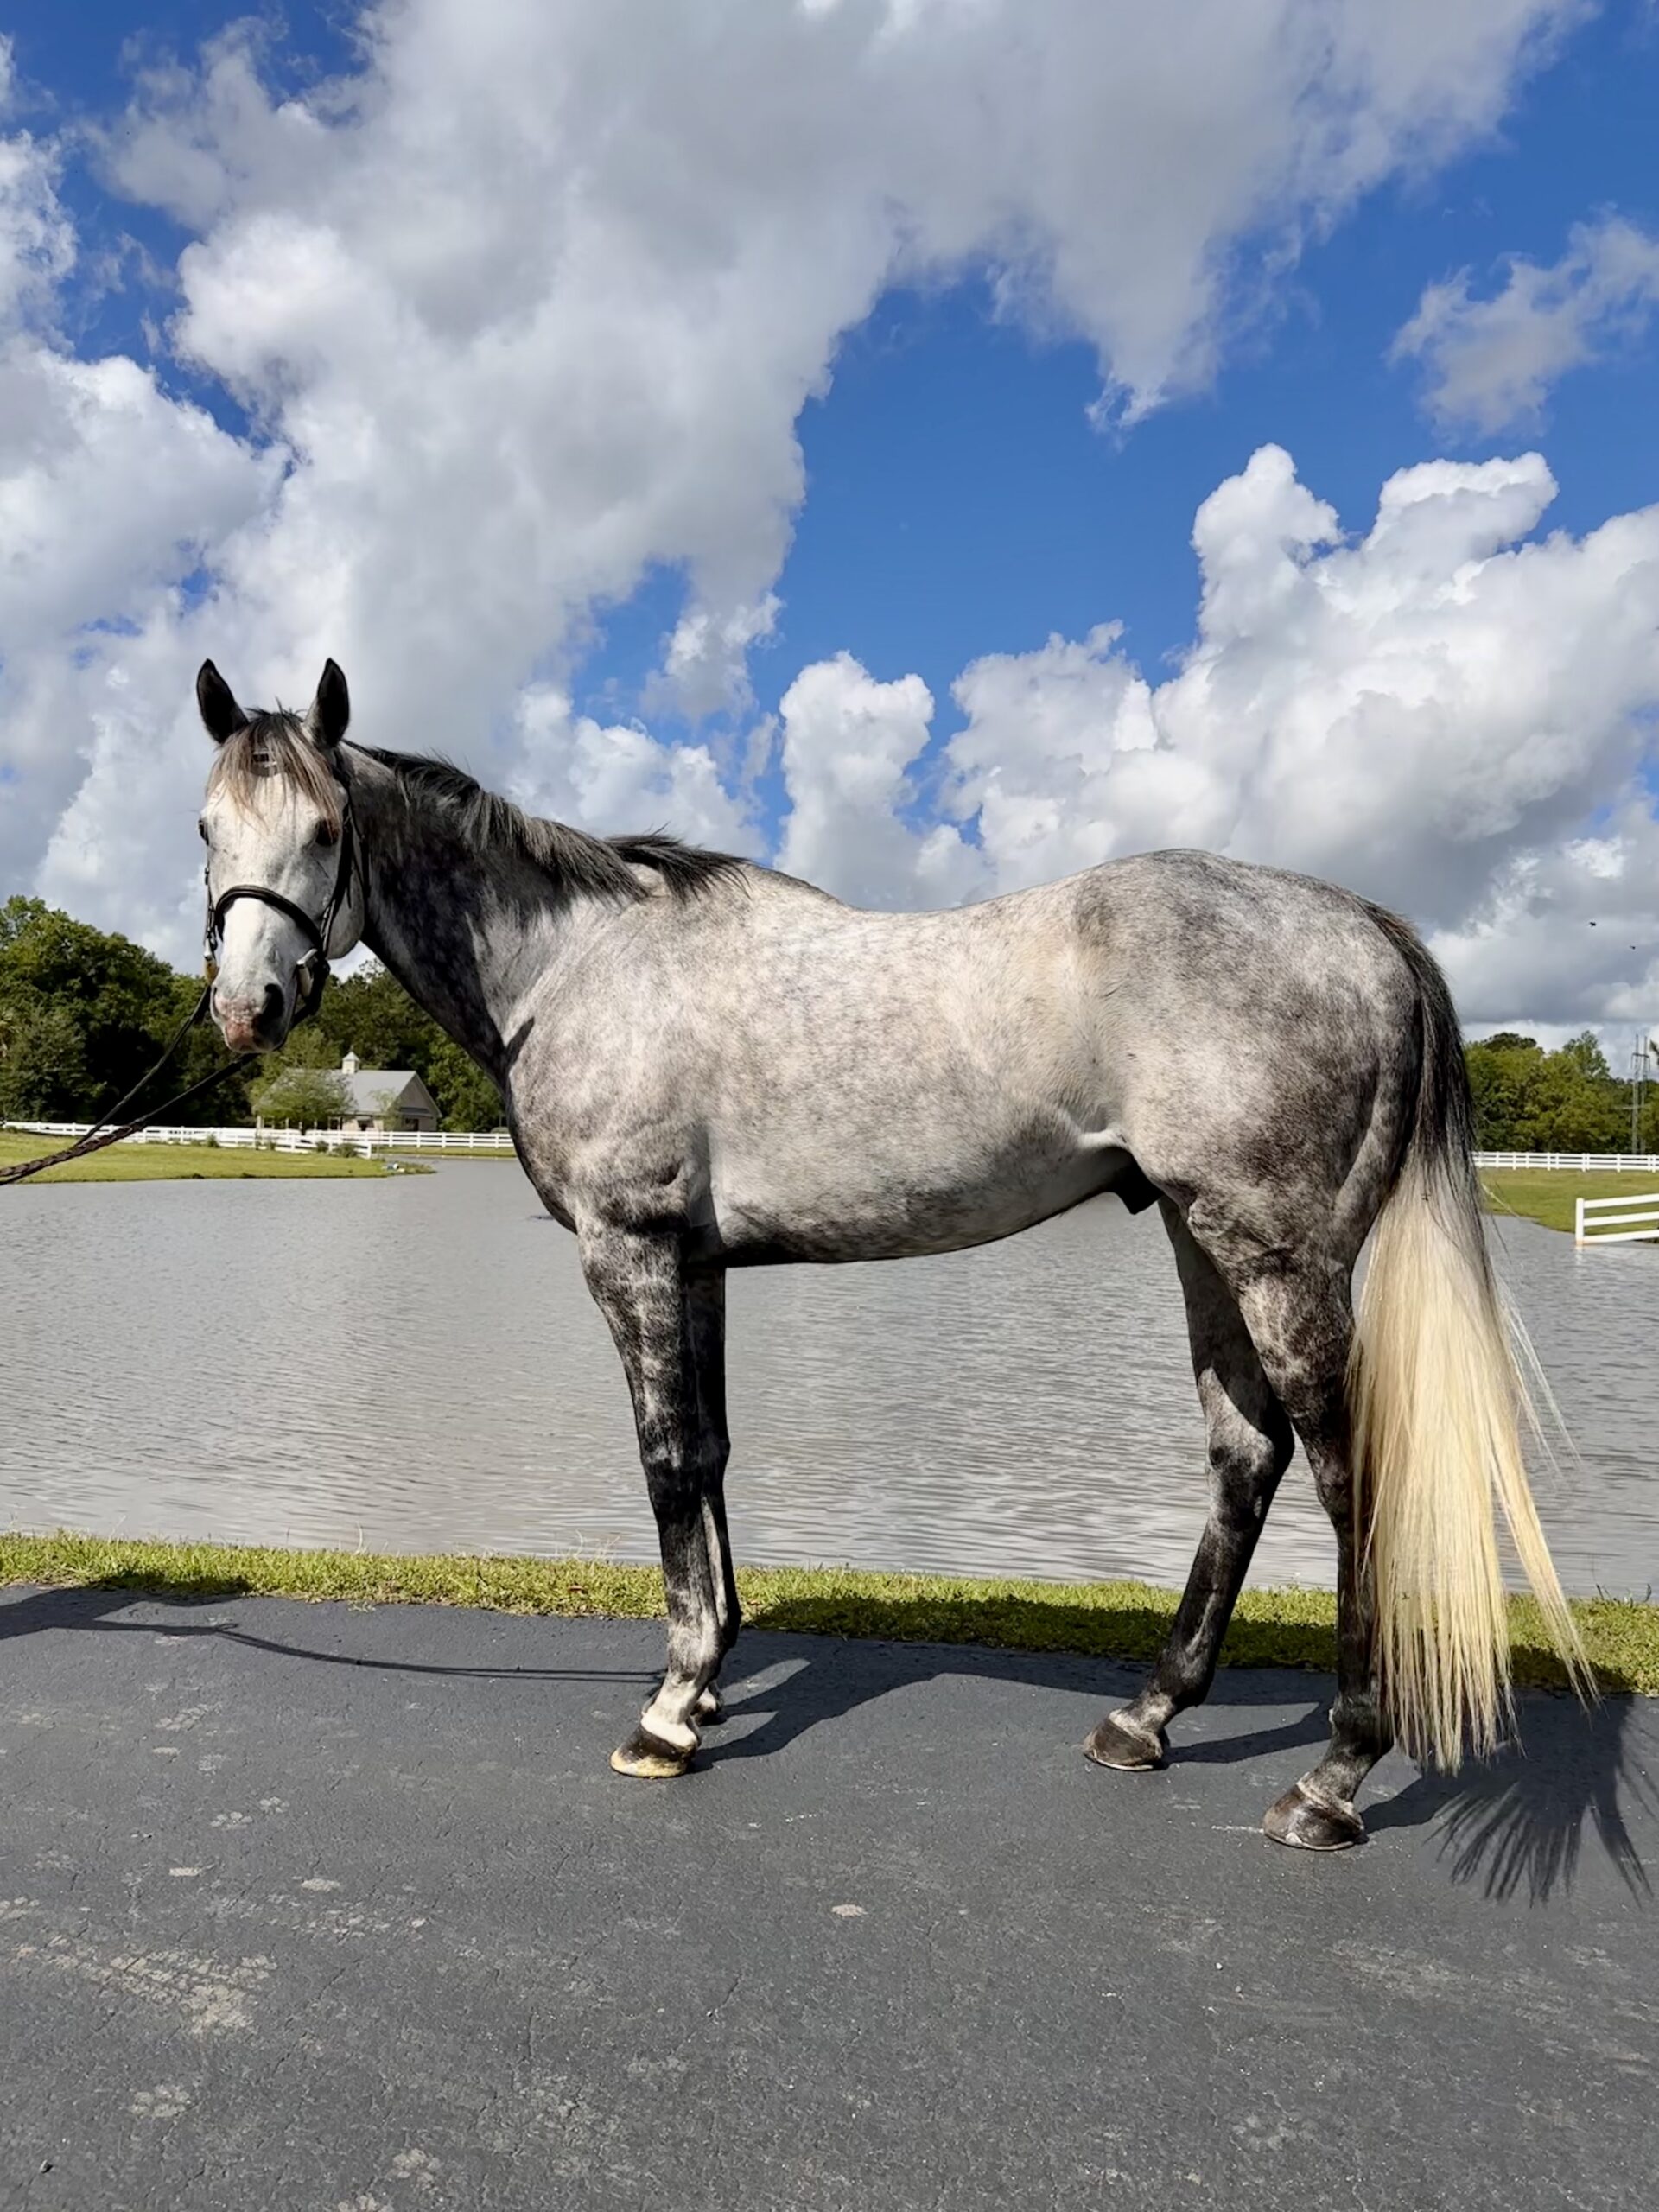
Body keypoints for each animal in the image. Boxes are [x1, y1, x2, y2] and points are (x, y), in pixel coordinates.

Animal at [193, 657, 1588, 1850]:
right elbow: (709, 1452)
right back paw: (1146, 1719)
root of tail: (1357, 922)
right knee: (1246, 1456)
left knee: (1351, 1472)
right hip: (1207, 1247)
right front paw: (708, 1675)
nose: (245, 1010)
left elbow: (662, 1462)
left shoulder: (630, 1252)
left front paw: (670, 1712)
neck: (582, 966)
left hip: (1279, 1258)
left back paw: (1333, 1778)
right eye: (210, 829)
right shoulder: (698, 1265)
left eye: (328, 829)